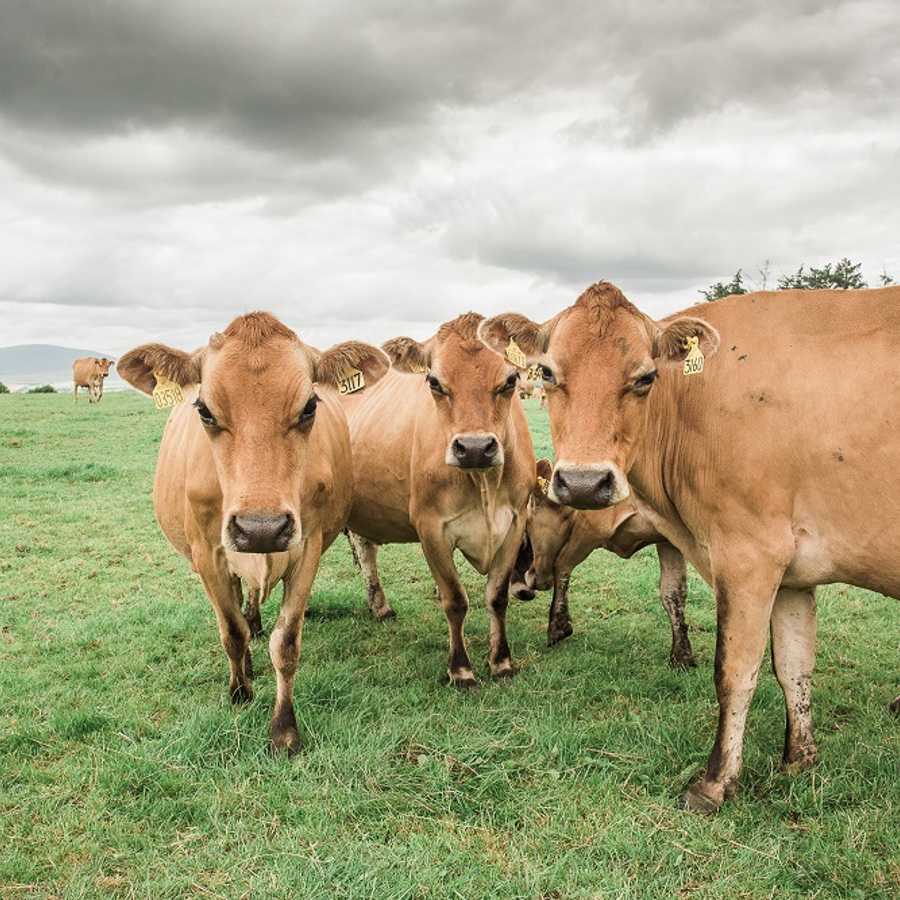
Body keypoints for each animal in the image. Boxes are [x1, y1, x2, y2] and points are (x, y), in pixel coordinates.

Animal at [116, 312, 389, 754]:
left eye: (309, 406)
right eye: (204, 410)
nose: (261, 528)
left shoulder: (308, 547)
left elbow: (286, 643)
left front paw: (284, 728)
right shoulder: (207, 554)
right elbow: (230, 632)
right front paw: (239, 691)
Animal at [339, 314, 536, 686]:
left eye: (511, 379)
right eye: (433, 381)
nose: (474, 447)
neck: (484, 483)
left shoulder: (514, 522)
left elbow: (497, 597)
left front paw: (501, 662)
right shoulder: (430, 527)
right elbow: (455, 600)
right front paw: (460, 669)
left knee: (364, 547)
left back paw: (379, 606)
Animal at [512, 459, 695, 667]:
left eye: (526, 526)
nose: (528, 580)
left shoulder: (592, 527)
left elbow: (562, 565)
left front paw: (558, 626)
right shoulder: (669, 540)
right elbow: (673, 592)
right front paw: (682, 656)